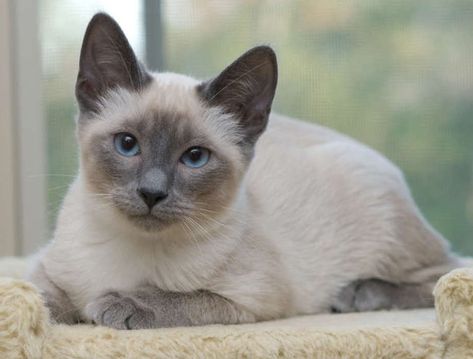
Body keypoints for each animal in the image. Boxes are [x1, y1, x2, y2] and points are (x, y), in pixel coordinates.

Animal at [28, 13, 460, 330]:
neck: (132, 247)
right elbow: (38, 296)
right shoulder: (46, 268)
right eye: (127, 144)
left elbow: (176, 298)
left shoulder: (251, 299)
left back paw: (358, 295)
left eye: (195, 157)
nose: (152, 193)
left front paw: (115, 304)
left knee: (445, 272)